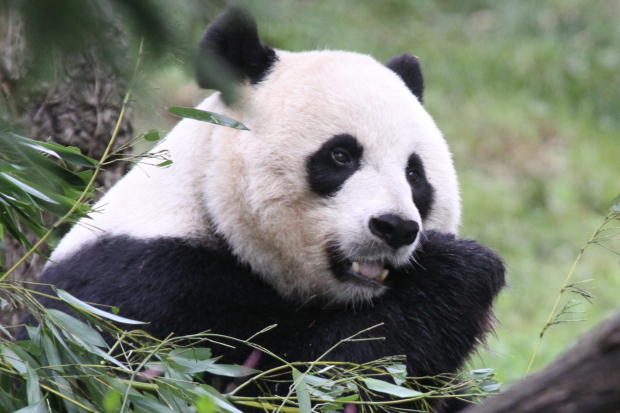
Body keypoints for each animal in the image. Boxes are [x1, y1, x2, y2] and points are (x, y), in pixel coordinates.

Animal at [26, 7, 506, 412]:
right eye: (340, 156)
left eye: (414, 175)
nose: (394, 227)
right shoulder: (141, 291)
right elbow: (298, 379)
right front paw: (459, 268)